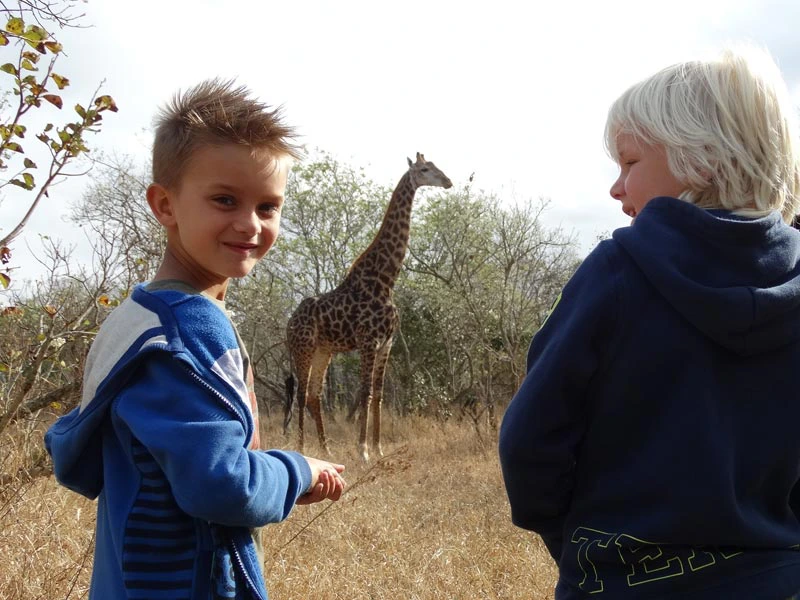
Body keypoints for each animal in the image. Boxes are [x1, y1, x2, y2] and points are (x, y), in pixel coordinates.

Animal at [286, 152, 452, 461]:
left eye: (436, 166)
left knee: (314, 395)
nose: (448, 181)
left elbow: (379, 394)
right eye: (425, 169)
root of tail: (289, 323)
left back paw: (326, 449)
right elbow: (365, 392)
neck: (385, 280)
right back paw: (302, 449)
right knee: (301, 394)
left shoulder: (387, 343)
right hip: (303, 348)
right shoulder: (368, 341)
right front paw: (362, 451)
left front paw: (378, 449)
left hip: (323, 350)